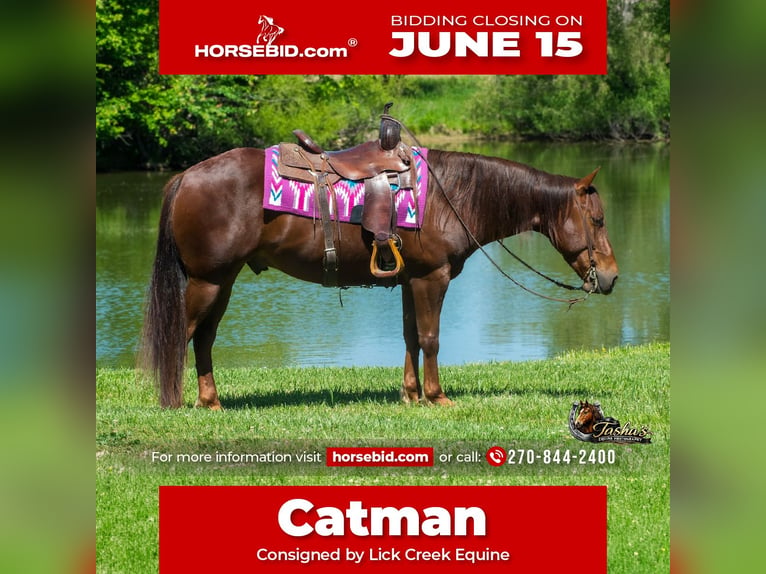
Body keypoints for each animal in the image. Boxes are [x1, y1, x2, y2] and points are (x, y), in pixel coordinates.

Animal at [141, 146, 619, 409]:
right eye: (596, 220)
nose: (612, 277)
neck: (451, 195)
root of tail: (185, 176)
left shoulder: (411, 281)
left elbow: (410, 337)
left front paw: (410, 394)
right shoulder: (432, 278)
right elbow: (430, 338)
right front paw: (436, 396)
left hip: (221, 282)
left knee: (203, 340)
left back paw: (211, 401)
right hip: (207, 281)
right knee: (182, 336)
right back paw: (175, 401)